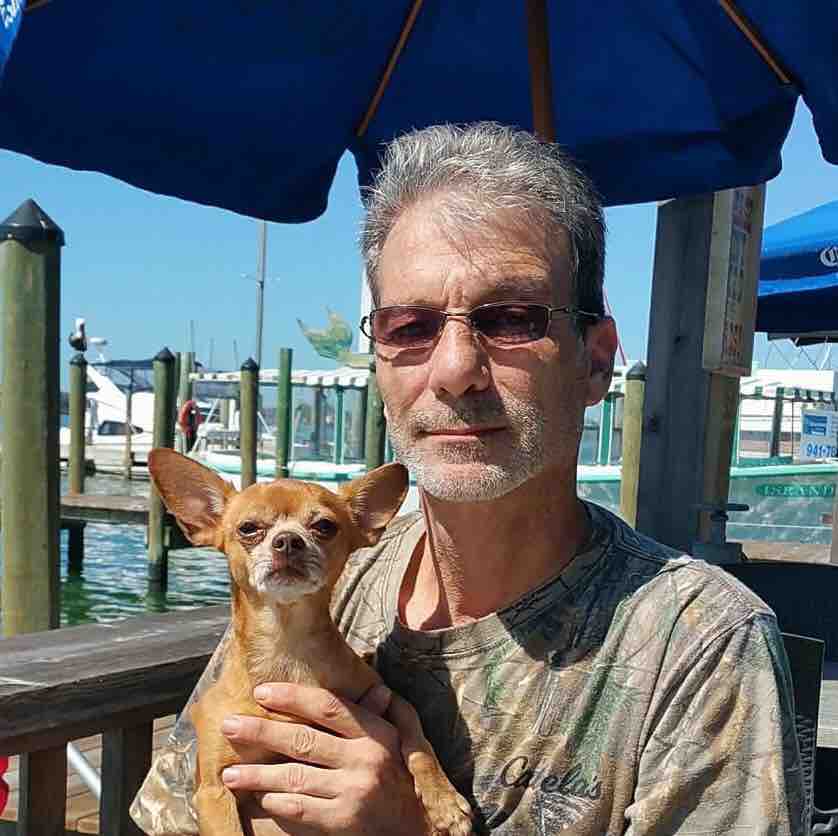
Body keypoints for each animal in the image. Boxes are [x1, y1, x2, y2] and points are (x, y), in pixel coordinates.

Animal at [148, 449, 473, 836]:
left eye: (325, 527)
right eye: (248, 528)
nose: (289, 540)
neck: (288, 648)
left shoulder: (386, 697)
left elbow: (416, 733)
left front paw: (444, 800)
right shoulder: (213, 792)